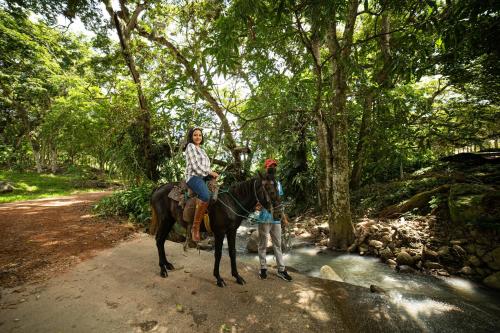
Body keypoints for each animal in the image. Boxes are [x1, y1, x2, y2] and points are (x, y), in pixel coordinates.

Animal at [148, 172, 282, 286]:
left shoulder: (232, 230)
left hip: (170, 221)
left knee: (162, 240)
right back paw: (162, 270)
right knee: (159, 240)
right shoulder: (219, 232)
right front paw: (218, 278)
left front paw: (237, 277)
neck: (231, 202)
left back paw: (167, 265)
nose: (279, 214)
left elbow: (232, 252)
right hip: (164, 220)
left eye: (277, 189)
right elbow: (218, 254)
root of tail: (158, 188)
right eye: (270, 190)